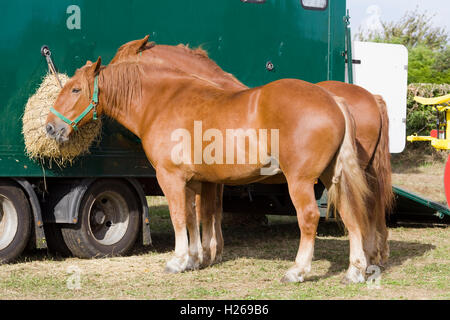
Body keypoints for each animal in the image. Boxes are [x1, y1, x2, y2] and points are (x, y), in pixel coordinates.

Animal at [44, 48, 372, 282]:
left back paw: (298, 271)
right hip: (332, 178)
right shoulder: (193, 181)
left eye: (75, 90)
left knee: (309, 219)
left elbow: (179, 218)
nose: (50, 127)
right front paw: (192, 260)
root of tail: (332, 100)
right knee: (351, 216)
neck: (162, 102)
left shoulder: (171, 178)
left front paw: (177, 261)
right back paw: (354, 271)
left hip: (301, 181)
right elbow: (193, 217)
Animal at [110, 36, 392, 268]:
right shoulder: (213, 177)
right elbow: (210, 210)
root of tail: (371, 98)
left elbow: (203, 211)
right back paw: (373, 255)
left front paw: (204, 252)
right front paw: (210, 252)